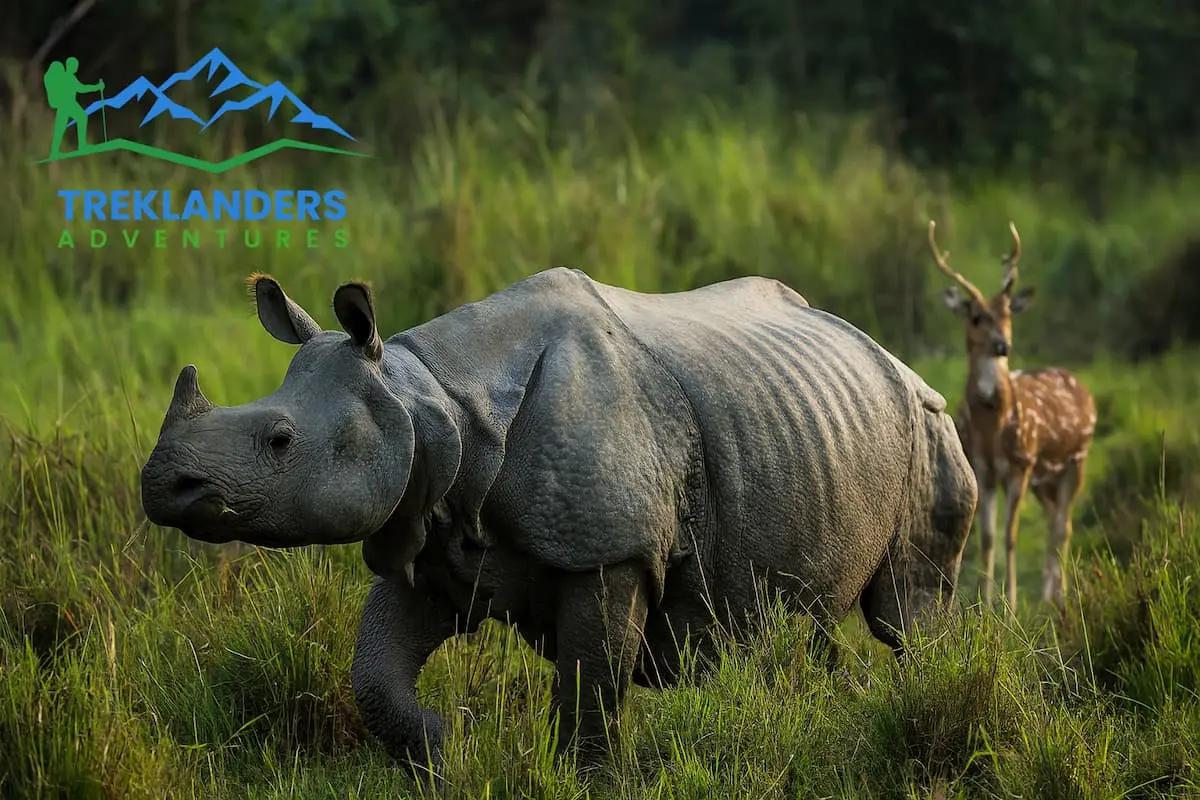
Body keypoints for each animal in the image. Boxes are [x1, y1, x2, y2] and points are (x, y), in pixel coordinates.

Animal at [140, 267, 977, 771]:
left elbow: (590, 684)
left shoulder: (610, 551)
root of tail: (885, 350)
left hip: (929, 423)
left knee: (906, 612)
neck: (430, 397)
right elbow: (374, 675)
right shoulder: (434, 531)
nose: (161, 486)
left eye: (280, 441)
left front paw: (582, 775)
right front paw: (454, 745)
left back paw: (924, 698)